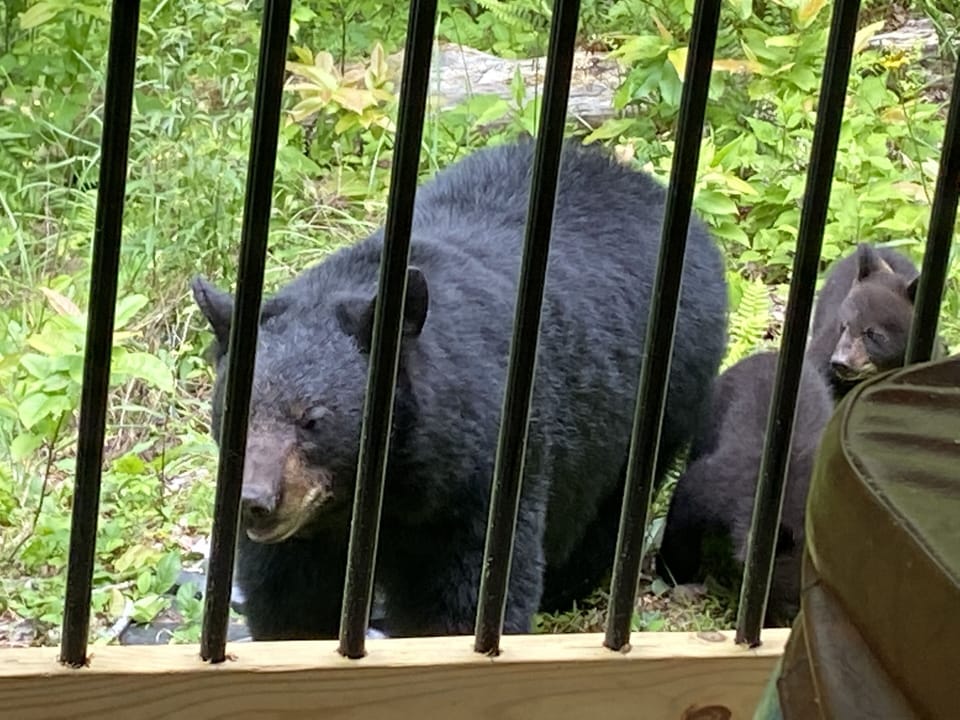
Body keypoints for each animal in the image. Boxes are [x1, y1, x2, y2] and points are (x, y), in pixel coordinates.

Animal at [191, 138, 729, 640]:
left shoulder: (476, 481)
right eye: (230, 413)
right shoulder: (304, 536)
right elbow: (288, 602)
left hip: (666, 393)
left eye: (313, 419)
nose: (254, 500)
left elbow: (464, 598)